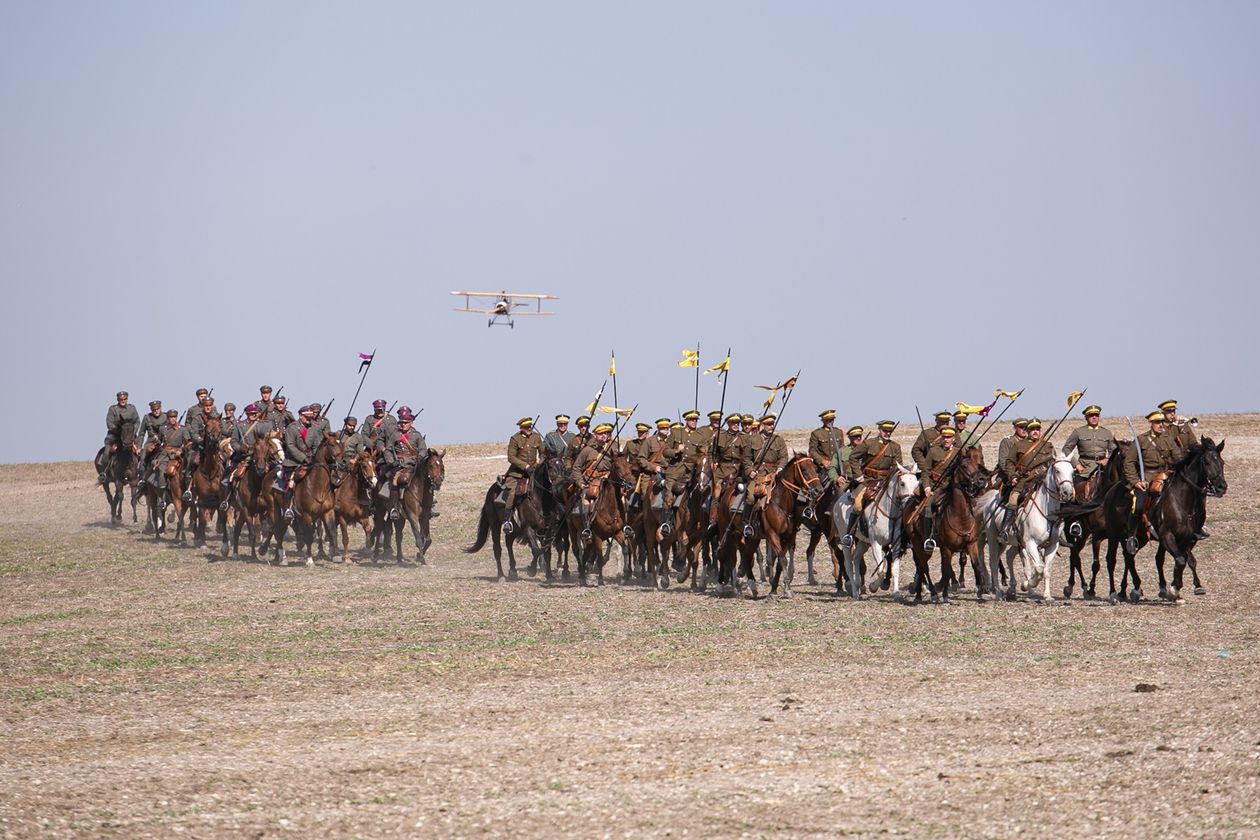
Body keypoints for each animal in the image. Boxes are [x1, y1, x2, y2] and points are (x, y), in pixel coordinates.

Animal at [834, 465, 920, 599]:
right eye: (902, 483)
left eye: (916, 483)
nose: (911, 502)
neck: (890, 513)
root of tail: (839, 501)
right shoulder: (876, 544)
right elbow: (881, 571)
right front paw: (873, 587)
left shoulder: (896, 544)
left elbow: (895, 569)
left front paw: (896, 593)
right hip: (845, 540)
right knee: (848, 564)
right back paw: (854, 592)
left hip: (864, 542)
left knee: (856, 558)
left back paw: (858, 586)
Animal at [903, 447, 991, 603]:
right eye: (964, 466)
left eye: (978, 462)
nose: (982, 480)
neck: (959, 516)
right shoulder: (946, 548)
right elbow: (945, 569)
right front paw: (944, 594)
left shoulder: (971, 544)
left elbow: (975, 565)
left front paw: (981, 591)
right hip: (919, 544)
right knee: (924, 566)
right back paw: (932, 593)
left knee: (921, 566)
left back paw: (919, 594)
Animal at [978, 454, 1075, 601]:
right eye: (1057, 470)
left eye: (1072, 472)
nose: (1067, 493)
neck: (1046, 511)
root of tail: (990, 500)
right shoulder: (1030, 543)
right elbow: (1039, 568)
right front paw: (1027, 584)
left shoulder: (1053, 545)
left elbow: (1046, 570)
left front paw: (1047, 595)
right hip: (994, 539)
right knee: (994, 563)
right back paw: (999, 593)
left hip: (1014, 543)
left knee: (1008, 556)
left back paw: (1012, 589)